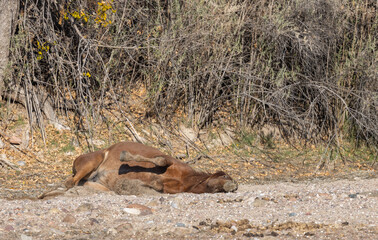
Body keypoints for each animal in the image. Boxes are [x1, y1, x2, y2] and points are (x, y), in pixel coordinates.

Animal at [63, 142, 238, 194]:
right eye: (224, 176)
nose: (234, 186)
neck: (186, 179)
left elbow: (158, 185)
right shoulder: (170, 161)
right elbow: (160, 161)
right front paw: (125, 156)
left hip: (99, 184)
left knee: (77, 183)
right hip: (92, 161)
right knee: (71, 182)